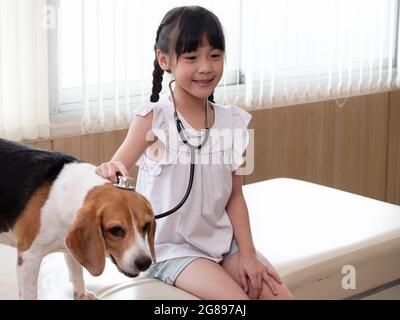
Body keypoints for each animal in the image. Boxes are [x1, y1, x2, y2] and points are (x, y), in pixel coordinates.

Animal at [0, 139, 156, 300]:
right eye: (116, 230)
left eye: (146, 226)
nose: (144, 262)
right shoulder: (29, 257)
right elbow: (30, 293)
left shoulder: (70, 245)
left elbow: (76, 271)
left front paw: (81, 294)